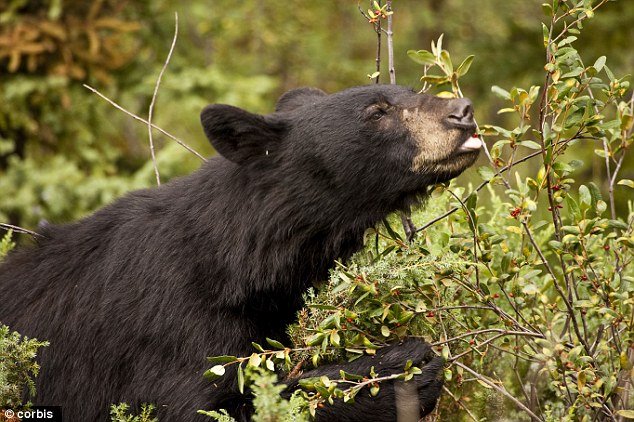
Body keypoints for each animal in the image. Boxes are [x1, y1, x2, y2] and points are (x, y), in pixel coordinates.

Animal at [0, 84, 476, 420]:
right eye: (377, 111)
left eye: (410, 89)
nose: (463, 112)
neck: (242, 261)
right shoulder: (172, 319)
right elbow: (202, 404)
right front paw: (401, 370)